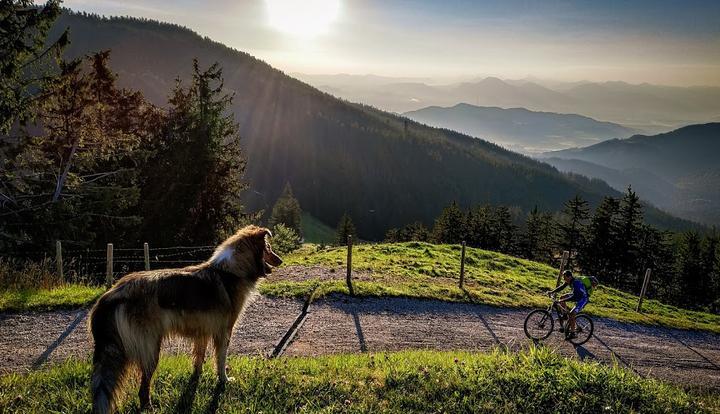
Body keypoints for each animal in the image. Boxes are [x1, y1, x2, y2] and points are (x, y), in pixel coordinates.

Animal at [88, 226, 282, 414]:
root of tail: (113, 294)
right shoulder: (224, 331)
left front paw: (196, 379)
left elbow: (199, 359)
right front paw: (224, 380)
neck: (231, 270)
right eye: (268, 248)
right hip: (151, 348)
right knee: (143, 387)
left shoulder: (203, 331)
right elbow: (221, 359)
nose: (280, 261)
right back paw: (149, 407)